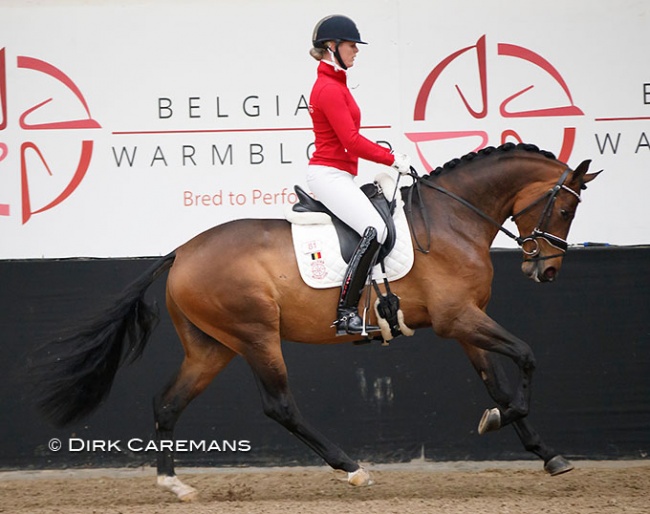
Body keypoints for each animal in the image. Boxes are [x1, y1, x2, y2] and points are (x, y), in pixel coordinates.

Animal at [30, 142, 596, 498]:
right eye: (565, 210)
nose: (545, 270)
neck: (452, 219)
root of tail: (180, 253)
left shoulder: (465, 322)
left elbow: (496, 383)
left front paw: (546, 453)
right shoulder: (459, 319)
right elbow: (526, 356)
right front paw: (503, 421)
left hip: (212, 346)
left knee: (167, 403)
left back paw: (174, 484)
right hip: (256, 336)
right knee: (280, 406)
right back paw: (353, 469)